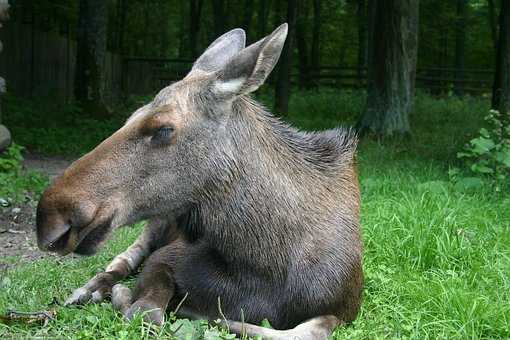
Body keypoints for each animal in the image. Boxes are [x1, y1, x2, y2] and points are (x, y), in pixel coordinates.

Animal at [35, 24, 362, 340]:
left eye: (163, 128)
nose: (49, 217)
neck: (262, 263)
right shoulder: (165, 257)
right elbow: (146, 311)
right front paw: (130, 296)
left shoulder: (344, 309)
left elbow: (308, 330)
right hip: (154, 228)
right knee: (120, 262)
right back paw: (88, 291)